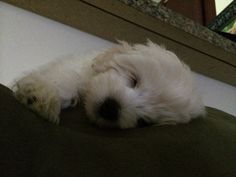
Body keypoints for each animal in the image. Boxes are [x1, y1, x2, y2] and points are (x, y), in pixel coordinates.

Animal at [12, 40, 205, 129]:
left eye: (144, 122)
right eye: (134, 80)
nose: (111, 109)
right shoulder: (80, 66)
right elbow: (66, 76)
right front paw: (42, 94)